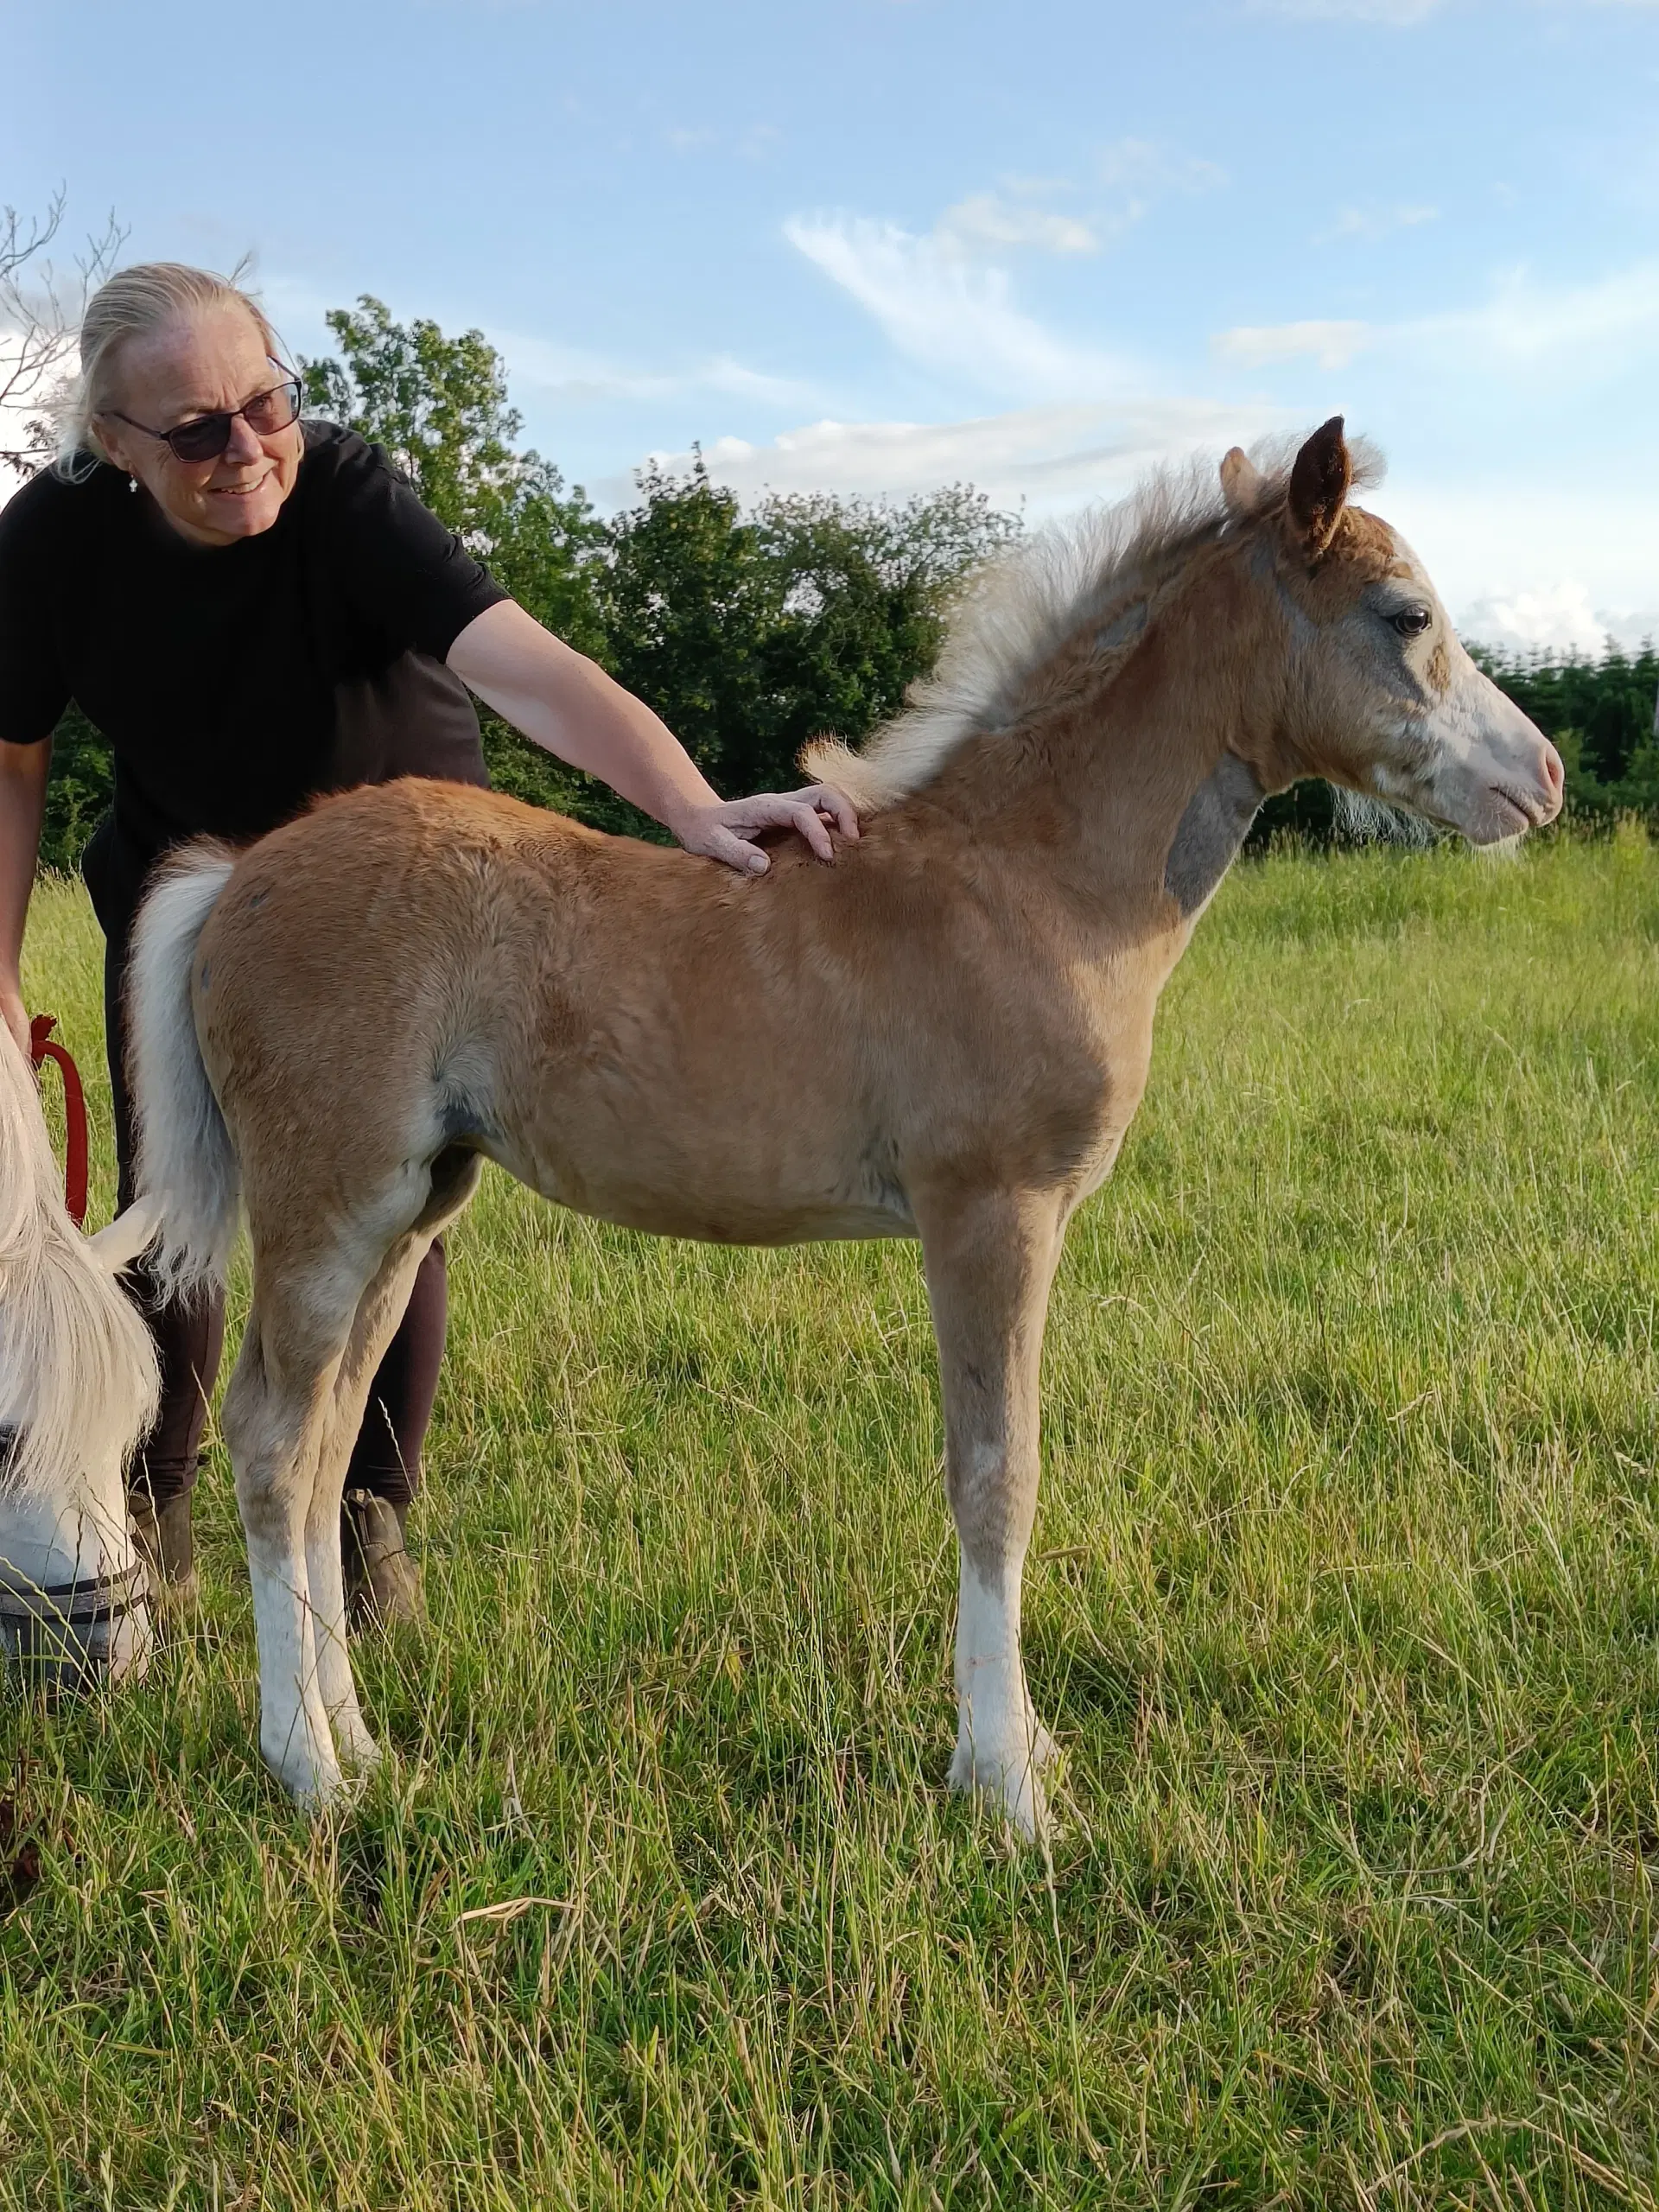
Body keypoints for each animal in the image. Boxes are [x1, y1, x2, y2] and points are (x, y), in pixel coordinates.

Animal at [126, 422, 1557, 1840]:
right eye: (1405, 613)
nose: (1537, 778)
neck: (1031, 881)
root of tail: (239, 872)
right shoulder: (989, 1212)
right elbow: (997, 1478)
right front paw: (1006, 1789)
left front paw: (1025, 1754)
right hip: (328, 1204)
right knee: (271, 1440)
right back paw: (307, 1773)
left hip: (413, 1210)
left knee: (325, 1446)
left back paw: (364, 1748)